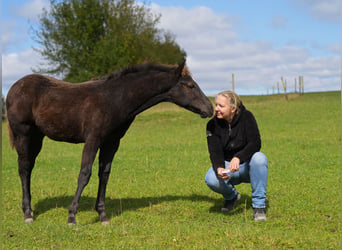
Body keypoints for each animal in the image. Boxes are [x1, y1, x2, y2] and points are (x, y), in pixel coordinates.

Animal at [5, 61, 212, 225]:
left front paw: (103, 215)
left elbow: (104, 174)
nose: (209, 108)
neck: (115, 98)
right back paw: (27, 214)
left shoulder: (112, 142)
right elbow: (85, 173)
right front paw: (72, 216)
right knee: (24, 168)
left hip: (37, 137)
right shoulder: (93, 139)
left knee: (28, 168)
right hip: (24, 133)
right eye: (190, 85)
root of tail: (14, 87)